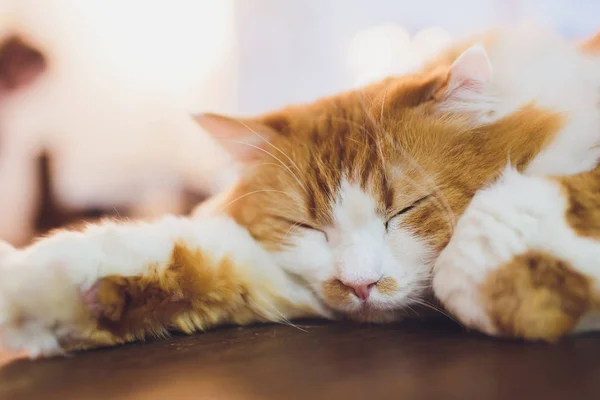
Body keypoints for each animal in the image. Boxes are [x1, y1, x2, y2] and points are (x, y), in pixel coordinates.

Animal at [1, 26, 600, 358]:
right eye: (306, 227)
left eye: (405, 210)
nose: (360, 285)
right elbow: (175, 252)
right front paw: (42, 299)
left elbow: (486, 238)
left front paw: (513, 293)